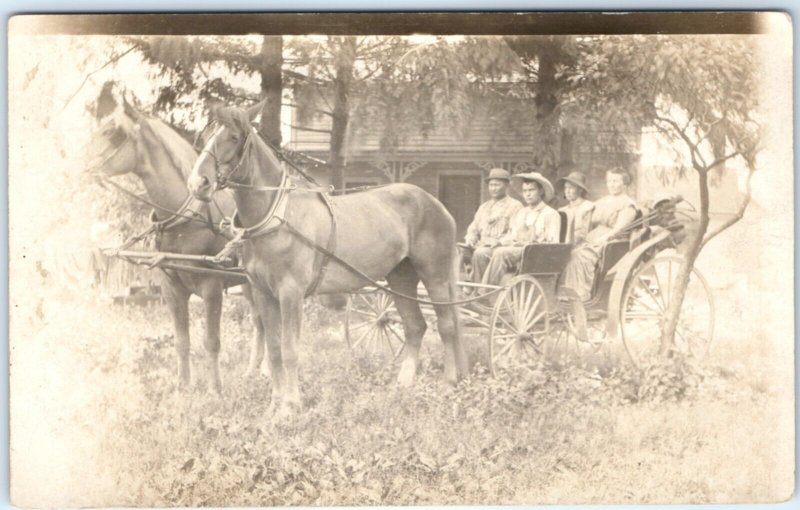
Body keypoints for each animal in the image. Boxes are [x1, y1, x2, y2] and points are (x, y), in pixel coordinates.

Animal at [84, 85, 268, 392]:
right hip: (249, 284)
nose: (81, 168)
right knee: (260, 321)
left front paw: (214, 389)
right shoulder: (171, 289)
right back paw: (253, 372)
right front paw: (183, 389)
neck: (186, 222)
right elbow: (182, 342)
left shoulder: (212, 287)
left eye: (113, 133)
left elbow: (211, 341)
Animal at [186, 102, 468, 414]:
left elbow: (290, 350)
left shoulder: (291, 293)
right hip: (401, 278)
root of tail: (435, 203)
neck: (276, 215)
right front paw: (275, 404)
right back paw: (403, 386)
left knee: (447, 327)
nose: (198, 183)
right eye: (205, 136)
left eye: (234, 137)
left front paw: (290, 406)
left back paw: (448, 385)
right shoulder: (263, 293)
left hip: (434, 276)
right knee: (416, 326)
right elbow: (274, 349)